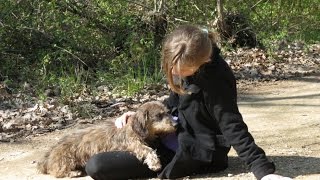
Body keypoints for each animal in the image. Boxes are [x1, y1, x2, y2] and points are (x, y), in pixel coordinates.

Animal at [37, 100, 176, 178]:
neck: (135, 128)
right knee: (57, 171)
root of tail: (48, 156)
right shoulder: (133, 143)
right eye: (158, 116)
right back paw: (73, 173)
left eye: (167, 112)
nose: (176, 124)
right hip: (67, 159)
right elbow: (147, 149)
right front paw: (155, 163)